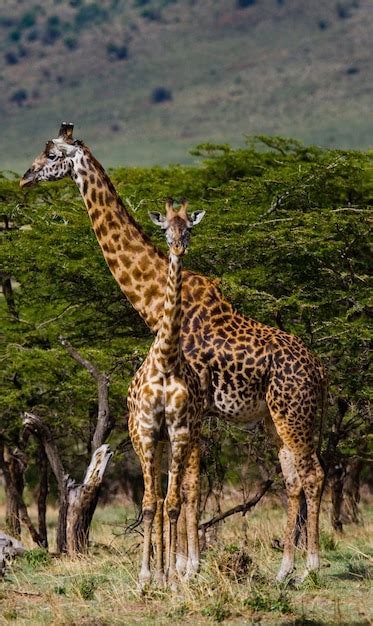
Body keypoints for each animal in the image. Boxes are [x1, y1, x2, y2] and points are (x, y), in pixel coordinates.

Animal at [21, 122, 326, 580]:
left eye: (52, 155)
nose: (25, 177)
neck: (153, 300)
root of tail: (321, 372)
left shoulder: (194, 410)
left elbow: (188, 486)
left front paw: (186, 566)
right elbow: (183, 486)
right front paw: (180, 564)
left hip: (294, 413)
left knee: (313, 475)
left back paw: (311, 566)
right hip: (277, 417)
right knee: (293, 477)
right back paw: (284, 568)